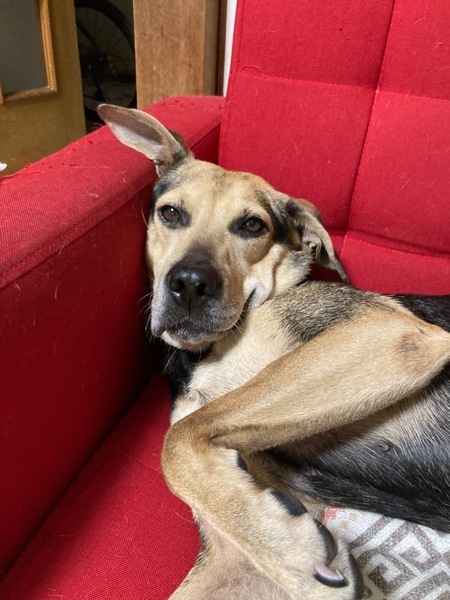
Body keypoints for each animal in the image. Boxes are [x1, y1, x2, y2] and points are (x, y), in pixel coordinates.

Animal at [98, 103, 450, 600]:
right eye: (170, 214)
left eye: (252, 225)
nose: (189, 284)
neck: (211, 351)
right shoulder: (236, 535)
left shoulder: (392, 333)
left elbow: (179, 439)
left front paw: (296, 555)